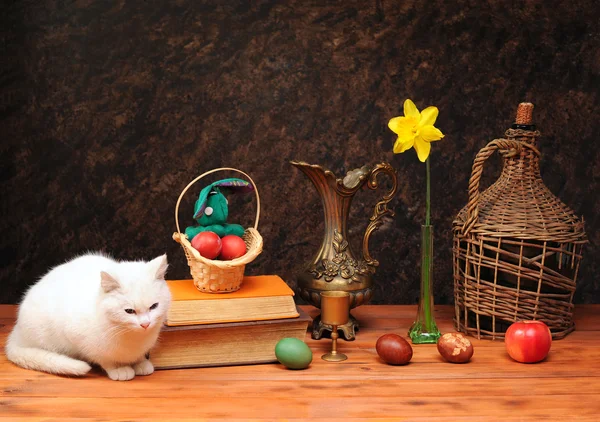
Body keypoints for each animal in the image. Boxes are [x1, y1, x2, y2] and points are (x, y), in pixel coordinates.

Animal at [5, 252, 171, 380]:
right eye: (129, 311)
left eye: (154, 306)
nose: (145, 324)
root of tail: (17, 330)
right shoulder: (78, 338)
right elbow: (105, 359)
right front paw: (118, 369)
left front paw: (140, 362)